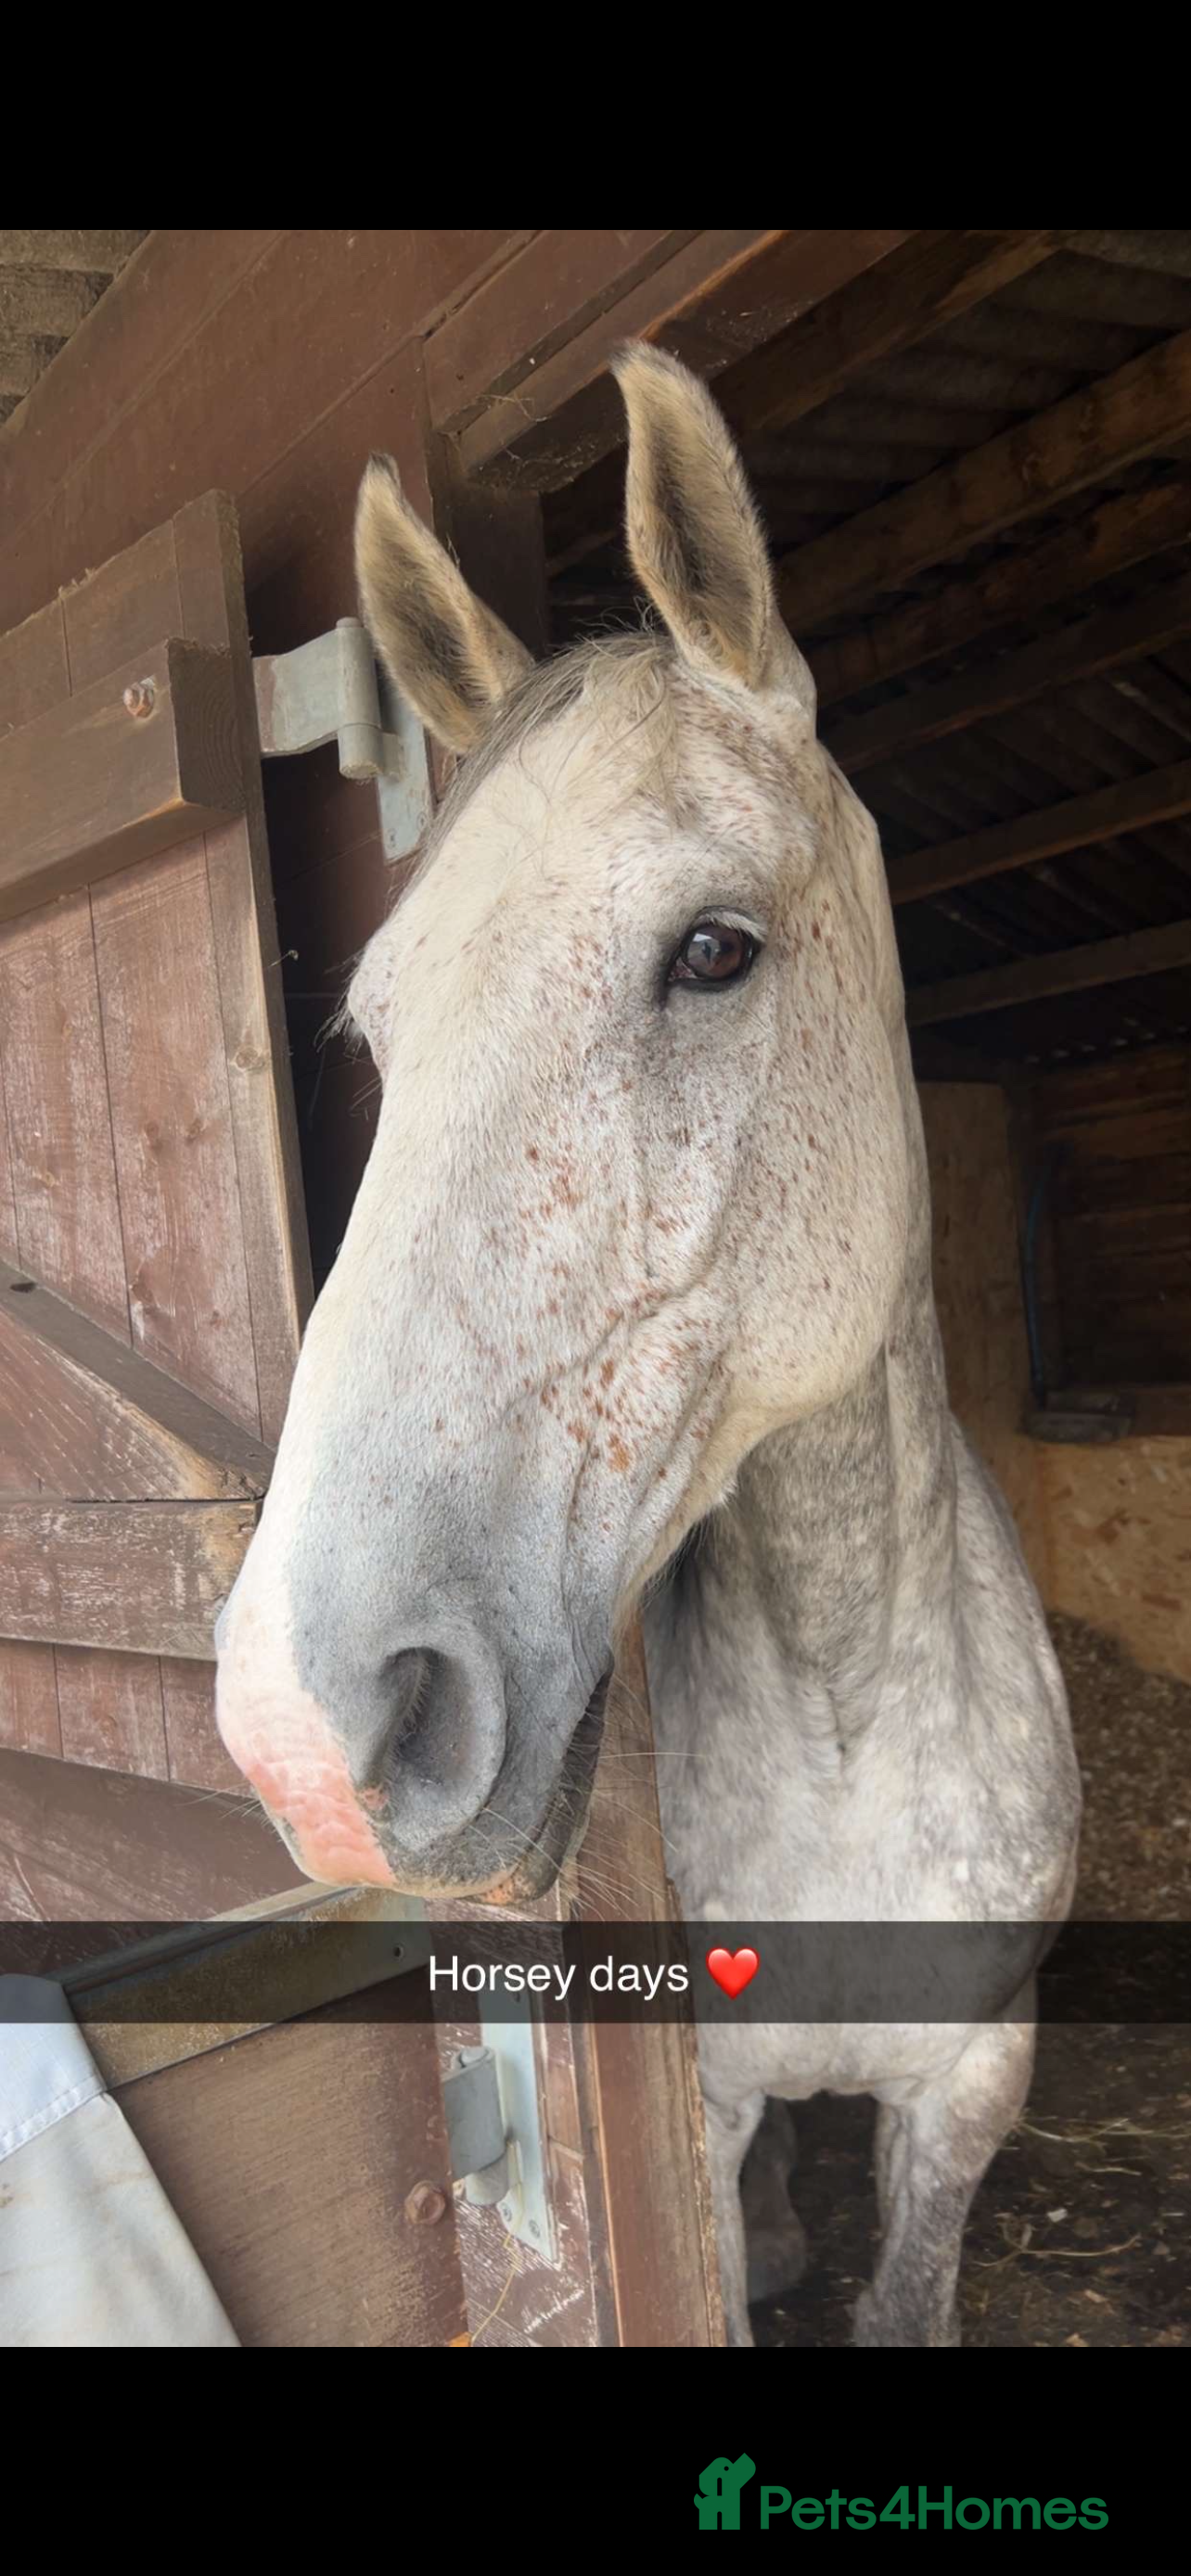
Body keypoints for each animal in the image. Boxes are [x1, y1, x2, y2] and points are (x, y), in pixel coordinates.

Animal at [215, 345, 1080, 2345]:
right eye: (380, 1026)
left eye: (712, 949)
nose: (302, 1734)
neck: (847, 1714)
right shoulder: (703, 2108)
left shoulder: (969, 2095)